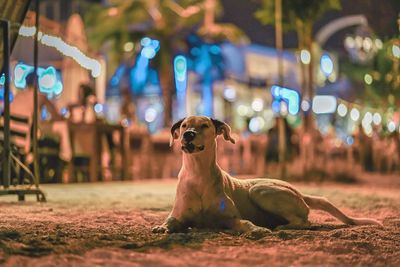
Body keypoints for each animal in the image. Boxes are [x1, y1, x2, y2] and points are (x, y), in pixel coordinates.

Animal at [152, 116, 382, 238]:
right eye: (184, 125)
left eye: (205, 125)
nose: (187, 134)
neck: (198, 172)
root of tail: (299, 192)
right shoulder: (180, 216)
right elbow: (171, 221)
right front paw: (162, 227)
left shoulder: (231, 218)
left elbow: (245, 223)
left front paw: (256, 229)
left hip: (259, 190)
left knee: (304, 221)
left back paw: (282, 227)